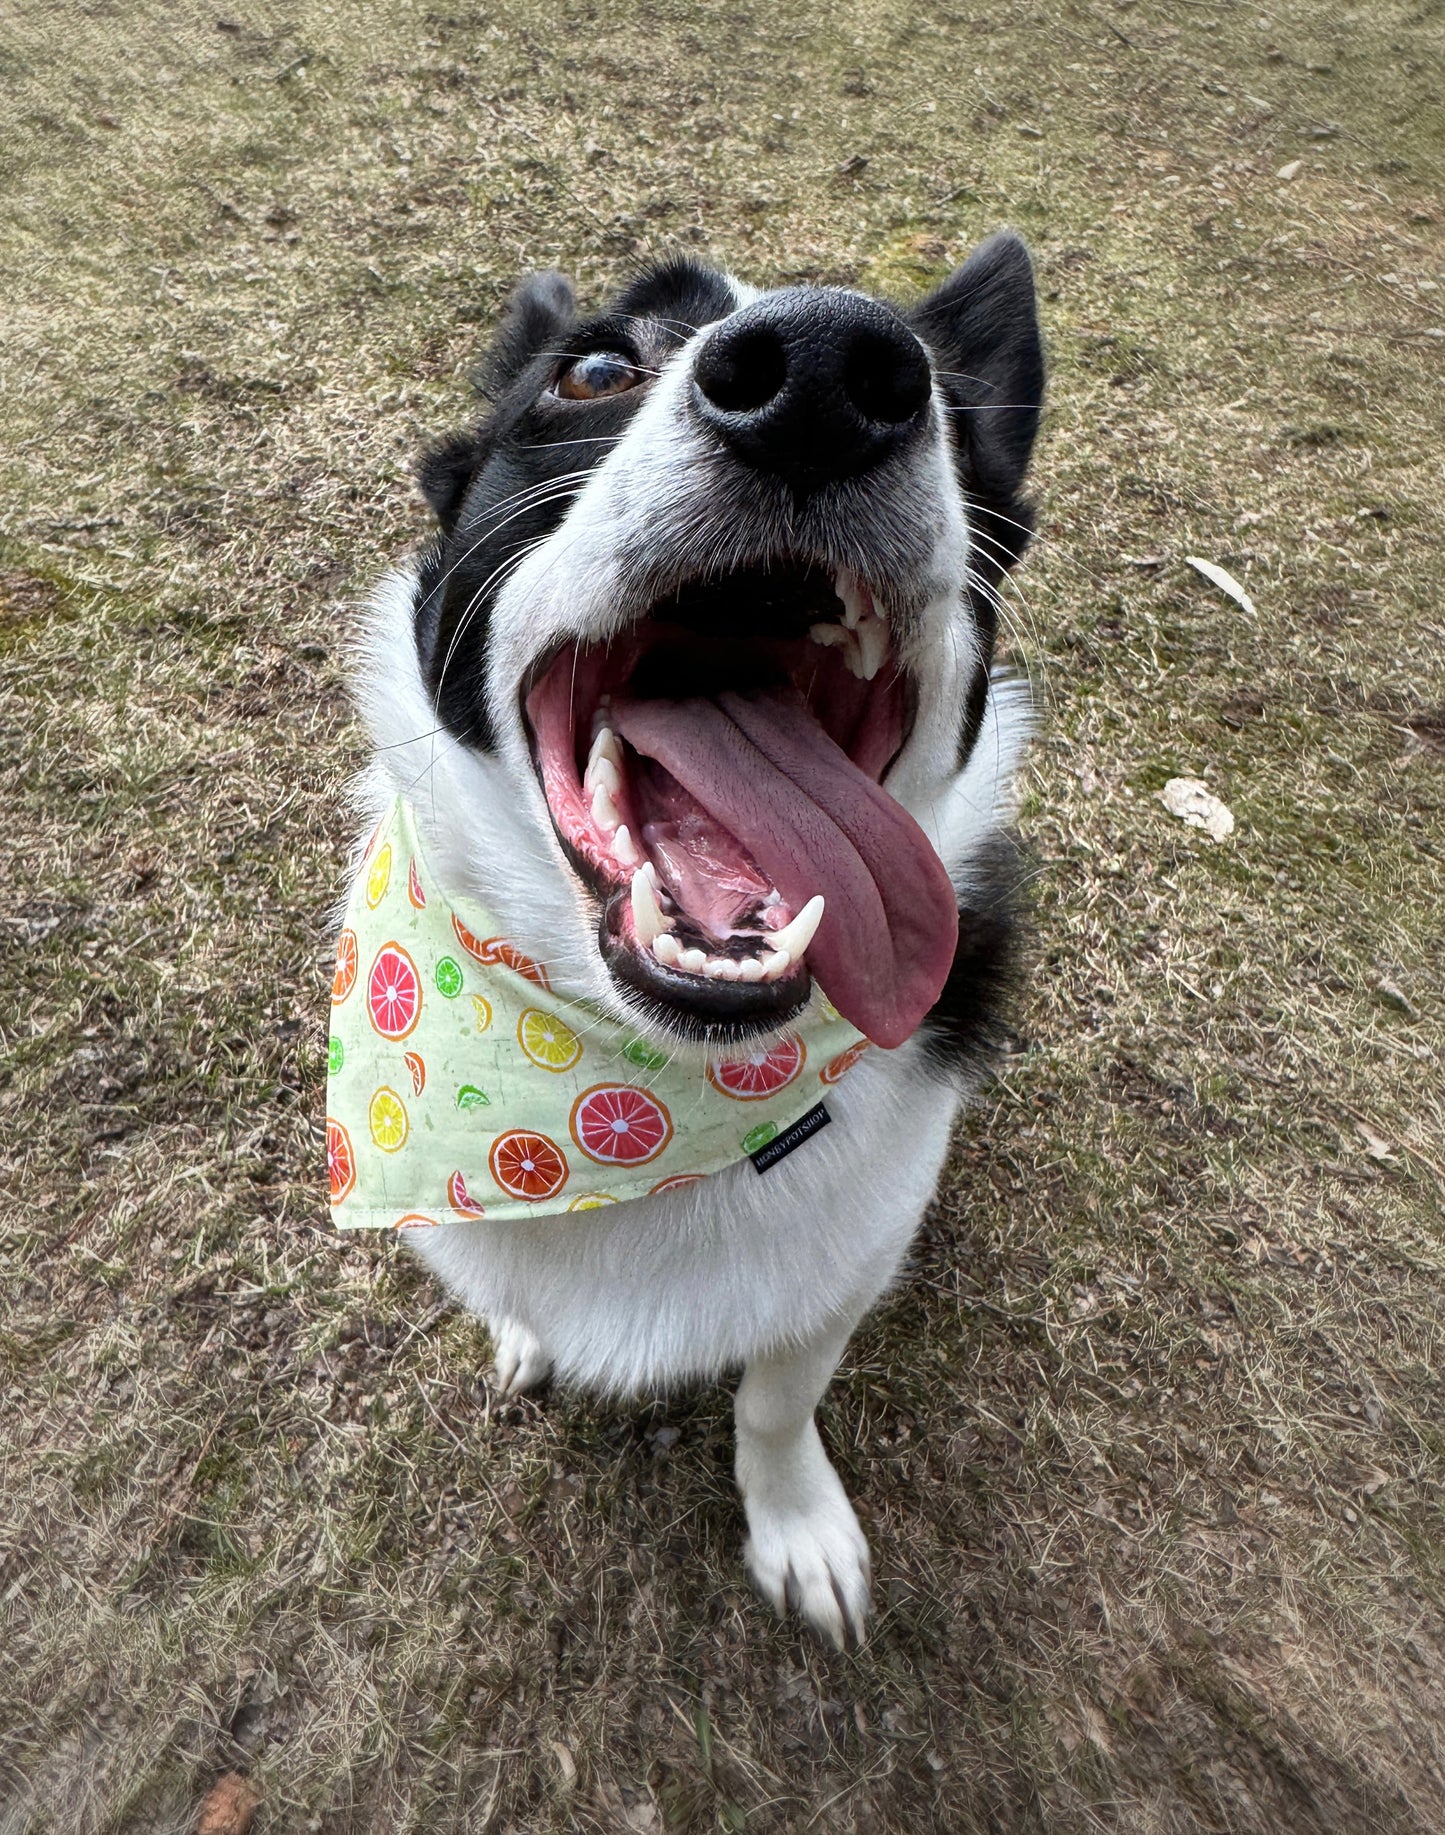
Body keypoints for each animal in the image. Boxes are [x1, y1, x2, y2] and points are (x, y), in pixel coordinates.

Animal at [347, 233, 1050, 1651]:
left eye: (952, 411)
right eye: (594, 370)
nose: (828, 373)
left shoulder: (836, 1278)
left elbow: (775, 1401)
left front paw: (797, 1529)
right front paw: (521, 1333)